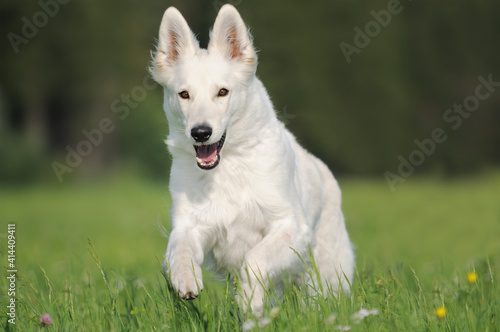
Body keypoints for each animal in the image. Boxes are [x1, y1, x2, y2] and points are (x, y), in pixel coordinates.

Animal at [152, 5, 356, 316]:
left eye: (222, 92)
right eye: (184, 94)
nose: (200, 133)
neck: (228, 166)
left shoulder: (290, 228)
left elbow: (255, 259)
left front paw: (250, 301)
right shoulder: (191, 225)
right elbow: (181, 249)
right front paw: (185, 278)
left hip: (322, 277)